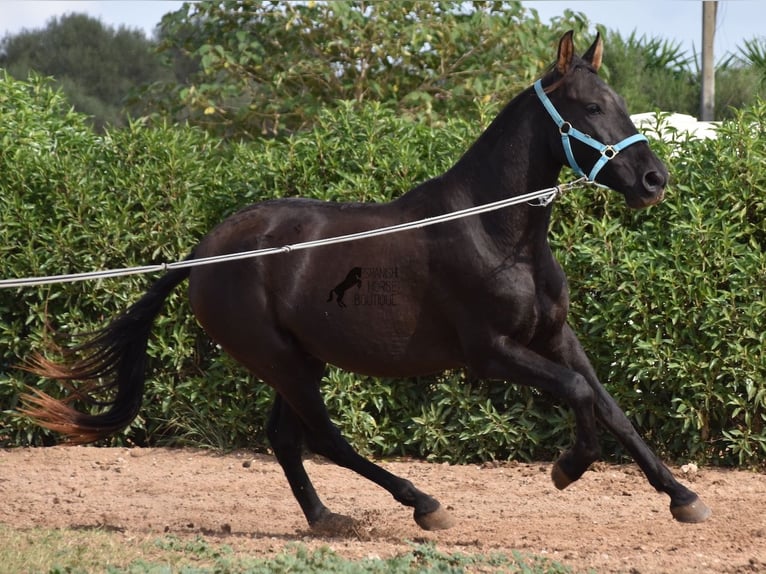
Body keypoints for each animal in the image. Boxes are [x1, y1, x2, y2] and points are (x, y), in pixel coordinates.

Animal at [22, 33, 712, 532]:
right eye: (590, 107)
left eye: (620, 102)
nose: (654, 180)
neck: (494, 231)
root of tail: (205, 251)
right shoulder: (490, 354)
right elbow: (576, 393)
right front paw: (567, 468)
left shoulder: (554, 337)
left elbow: (610, 406)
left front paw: (683, 497)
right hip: (277, 358)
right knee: (324, 437)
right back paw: (423, 504)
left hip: (298, 357)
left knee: (287, 437)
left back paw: (328, 519)